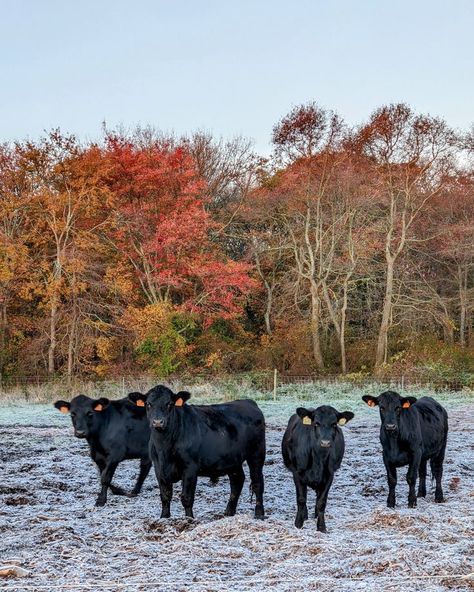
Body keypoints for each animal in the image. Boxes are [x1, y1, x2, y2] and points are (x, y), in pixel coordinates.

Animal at [129, 384, 266, 520]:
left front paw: (189, 519)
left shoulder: (190, 467)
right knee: (237, 481)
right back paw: (229, 512)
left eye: (169, 404)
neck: (164, 447)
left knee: (257, 482)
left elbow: (186, 497)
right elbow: (165, 495)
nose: (158, 422)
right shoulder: (159, 468)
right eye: (148, 404)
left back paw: (259, 513)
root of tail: (249, 402)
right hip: (233, 460)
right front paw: (164, 517)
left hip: (257, 454)